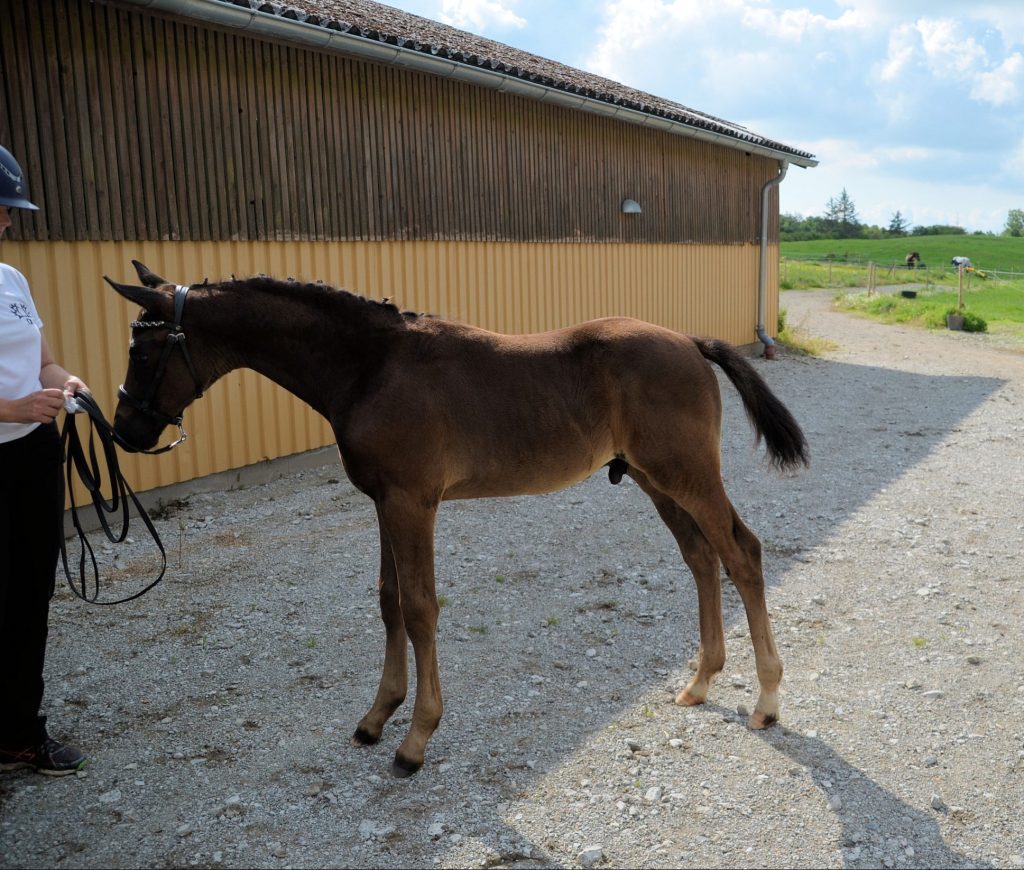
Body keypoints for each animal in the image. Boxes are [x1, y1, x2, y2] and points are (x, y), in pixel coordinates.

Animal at [103, 261, 806, 777]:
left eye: (145, 350)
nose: (126, 430)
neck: (371, 366)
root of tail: (690, 342)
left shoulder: (413, 501)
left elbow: (419, 608)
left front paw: (414, 740)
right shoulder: (383, 501)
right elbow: (388, 600)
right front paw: (376, 717)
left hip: (687, 476)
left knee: (742, 552)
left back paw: (768, 700)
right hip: (654, 480)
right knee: (702, 557)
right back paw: (700, 683)